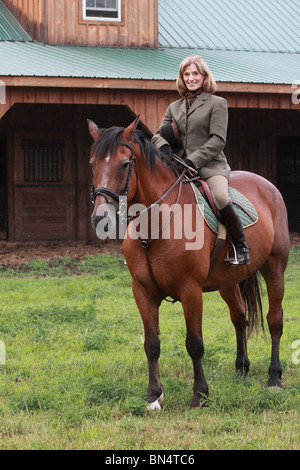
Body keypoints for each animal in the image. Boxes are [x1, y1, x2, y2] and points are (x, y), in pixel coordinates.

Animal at [88, 119, 290, 410]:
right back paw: (241, 368)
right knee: (239, 317)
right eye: (93, 164)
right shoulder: (142, 292)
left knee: (274, 320)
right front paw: (153, 396)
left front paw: (200, 395)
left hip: (274, 268)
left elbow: (194, 343)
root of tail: (266, 184)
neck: (156, 224)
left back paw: (274, 378)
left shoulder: (190, 290)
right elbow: (152, 343)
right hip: (227, 282)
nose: (100, 217)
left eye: (125, 164)